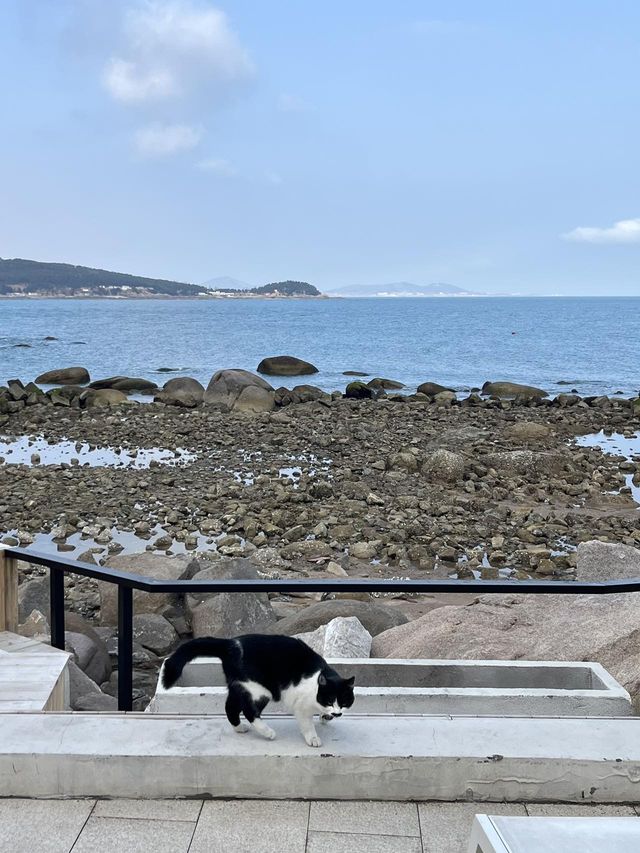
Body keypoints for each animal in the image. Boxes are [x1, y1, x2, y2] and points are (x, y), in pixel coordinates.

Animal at [161, 632, 356, 744]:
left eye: (344, 702)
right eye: (329, 699)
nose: (337, 713)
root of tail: (231, 644)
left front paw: (326, 717)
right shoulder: (300, 705)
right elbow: (307, 724)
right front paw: (313, 737)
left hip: (239, 685)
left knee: (230, 706)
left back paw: (239, 728)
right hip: (260, 689)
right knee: (248, 710)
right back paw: (267, 732)